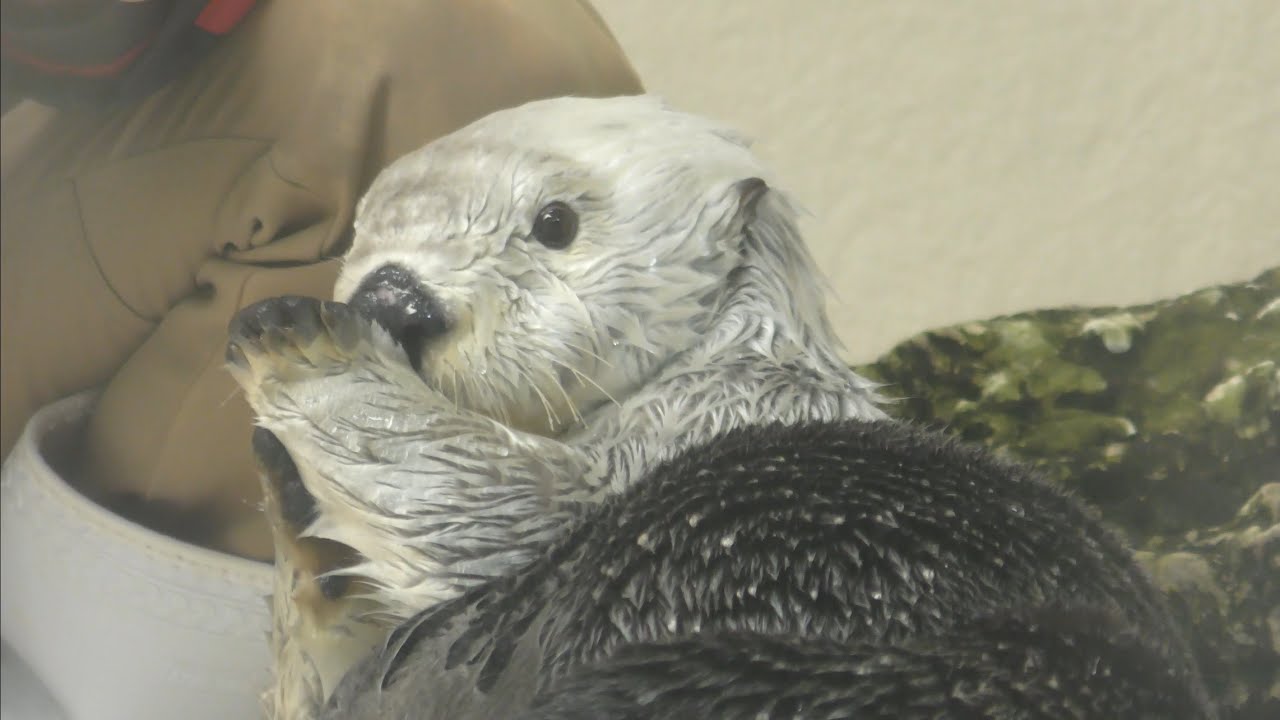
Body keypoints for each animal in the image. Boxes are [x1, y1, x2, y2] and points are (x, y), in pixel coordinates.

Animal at [225, 96, 1211, 719]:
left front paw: (301, 344)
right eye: (364, 233)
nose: (395, 298)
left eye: (554, 224)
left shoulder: (692, 424)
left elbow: (493, 513)